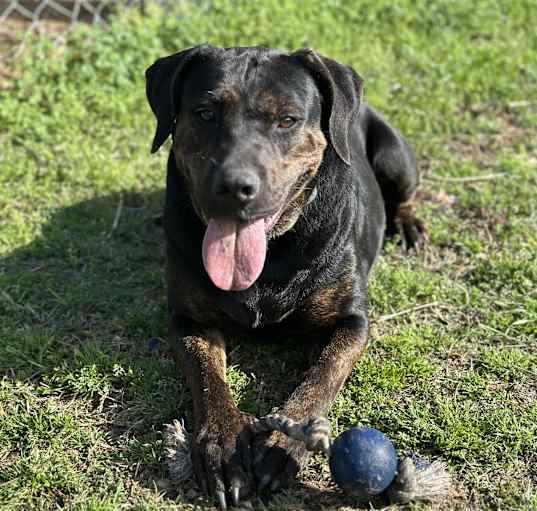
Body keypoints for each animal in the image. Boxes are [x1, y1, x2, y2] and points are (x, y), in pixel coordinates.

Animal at [144, 46, 426, 510]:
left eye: (287, 120)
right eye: (204, 113)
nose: (235, 186)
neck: (273, 252)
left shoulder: (351, 321)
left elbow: (325, 373)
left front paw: (286, 439)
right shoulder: (188, 320)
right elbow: (207, 377)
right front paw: (222, 444)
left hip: (395, 158)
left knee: (404, 192)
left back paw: (408, 224)